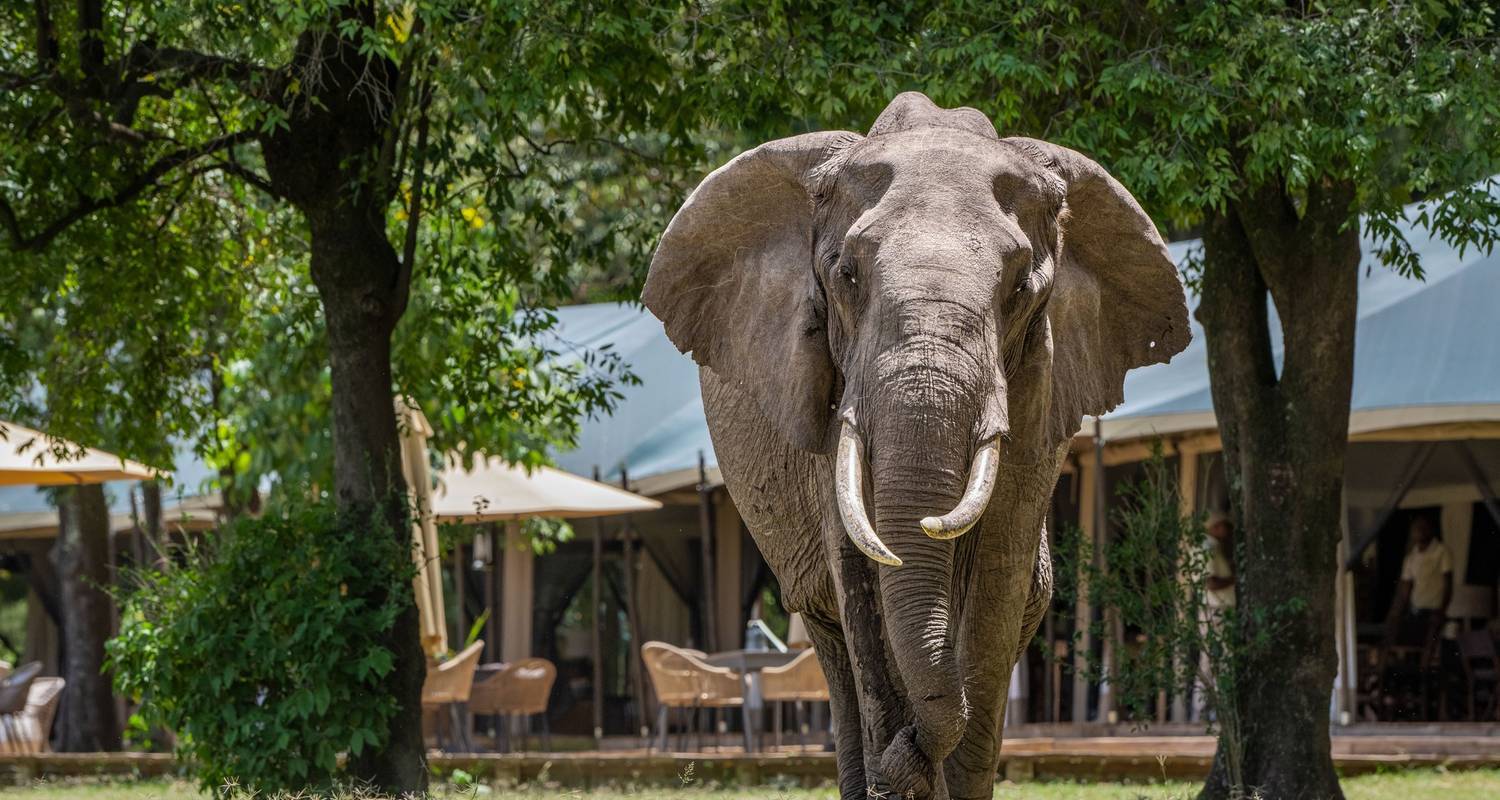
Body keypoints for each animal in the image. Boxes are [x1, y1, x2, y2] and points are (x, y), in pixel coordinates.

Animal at [639, 93, 1188, 798]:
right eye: (846, 276)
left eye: (1020, 291)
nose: (904, 759)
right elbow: (858, 574)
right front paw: (900, 767)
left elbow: (996, 576)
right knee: (831, 637)